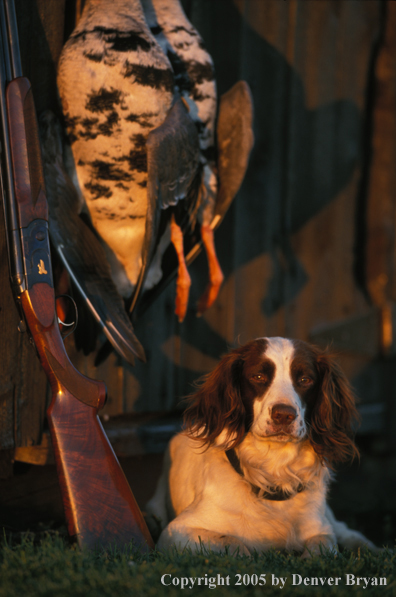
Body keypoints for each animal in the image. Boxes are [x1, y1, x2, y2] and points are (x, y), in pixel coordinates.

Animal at [146, 336, 378, 556]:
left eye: (305, 380)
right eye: (258, 377)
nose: (283, 415)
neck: (274, 471)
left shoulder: (319, 527)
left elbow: (325, 545)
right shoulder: (176, 532)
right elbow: (236, 544)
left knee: (345, 531)